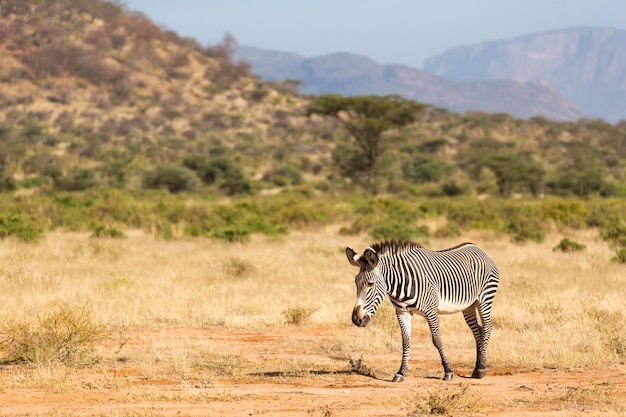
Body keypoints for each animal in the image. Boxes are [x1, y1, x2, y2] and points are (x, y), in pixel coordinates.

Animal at [346, 240, 498, 380]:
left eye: (370, 284)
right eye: (355, 282)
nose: (356, 319)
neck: (402, 283)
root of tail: (479, 248)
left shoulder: (431, 312)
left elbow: (437, 340)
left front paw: (448, 371)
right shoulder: (402, 312)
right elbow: (406, 341)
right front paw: (401, 372)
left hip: (485, 297)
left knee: (487, 327)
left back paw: (481, 369)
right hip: (468, 305)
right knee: (478, 330)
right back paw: (478, 368)